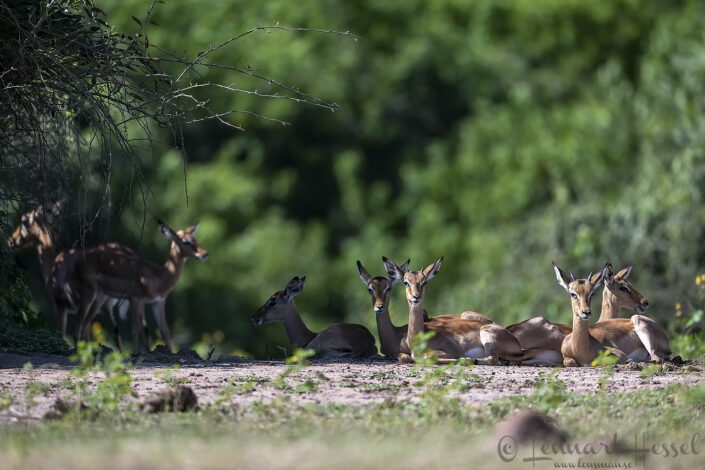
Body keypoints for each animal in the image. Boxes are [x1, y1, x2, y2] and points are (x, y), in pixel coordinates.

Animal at [74, 221, 208, 353]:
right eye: (186, 241)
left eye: (195, 239)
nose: (205, 254)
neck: (158, 274)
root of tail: (81, 260)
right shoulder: (135, 299)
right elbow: (135, 329)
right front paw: (135, 354)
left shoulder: (157, 303)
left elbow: (164, 332)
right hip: (89, 295)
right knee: (80, 322)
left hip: (100, 297)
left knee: (86, 323)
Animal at [383, 256, 525, 365]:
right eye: (406, 282)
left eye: (424, 282)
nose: (416, 297)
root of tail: (517, 343)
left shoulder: (450, 351)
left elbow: (427, 357)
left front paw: (462, 359)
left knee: (494, 360)